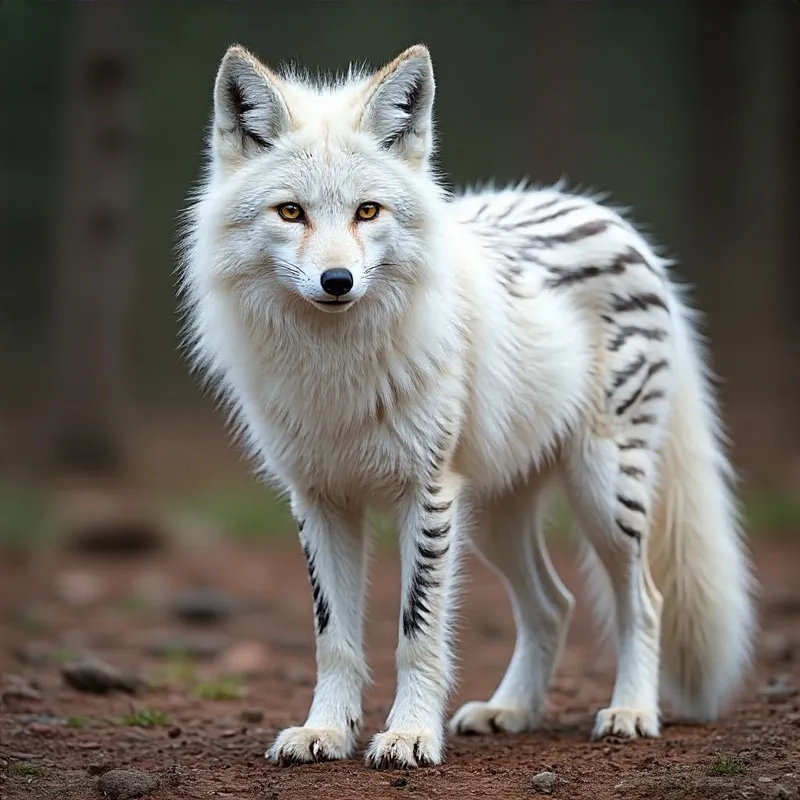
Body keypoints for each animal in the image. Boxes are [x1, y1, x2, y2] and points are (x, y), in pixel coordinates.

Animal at [179, 43, 757, 769]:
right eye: (291, 213)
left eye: (367, 212)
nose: (337, 281)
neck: (336, 365)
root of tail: (619, 224)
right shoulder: (319, 501)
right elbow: (333, 638)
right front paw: (326, 733)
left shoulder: (426, 495)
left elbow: (416, 633)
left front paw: (408, 736)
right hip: (497, 518)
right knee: (554, 605)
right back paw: (511, 710)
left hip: (602, 496)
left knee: (643, 601)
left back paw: (631, 711)